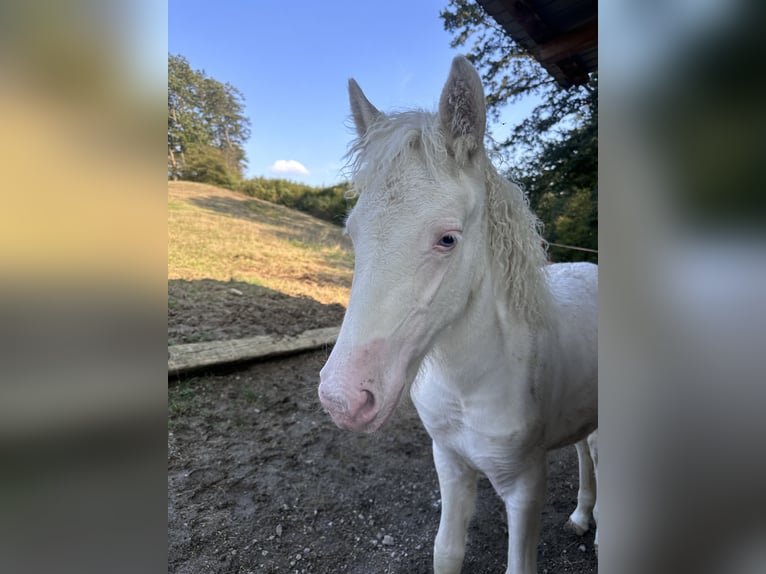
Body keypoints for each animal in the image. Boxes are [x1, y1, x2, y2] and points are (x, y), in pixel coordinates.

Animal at [318, 55, 600, 574]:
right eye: (352, 233)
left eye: (448, 238)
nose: (342, 400)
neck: (469, 384)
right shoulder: (449, 462)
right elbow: (446, 551)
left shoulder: (525, 486)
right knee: (585, 447)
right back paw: (581, 515)